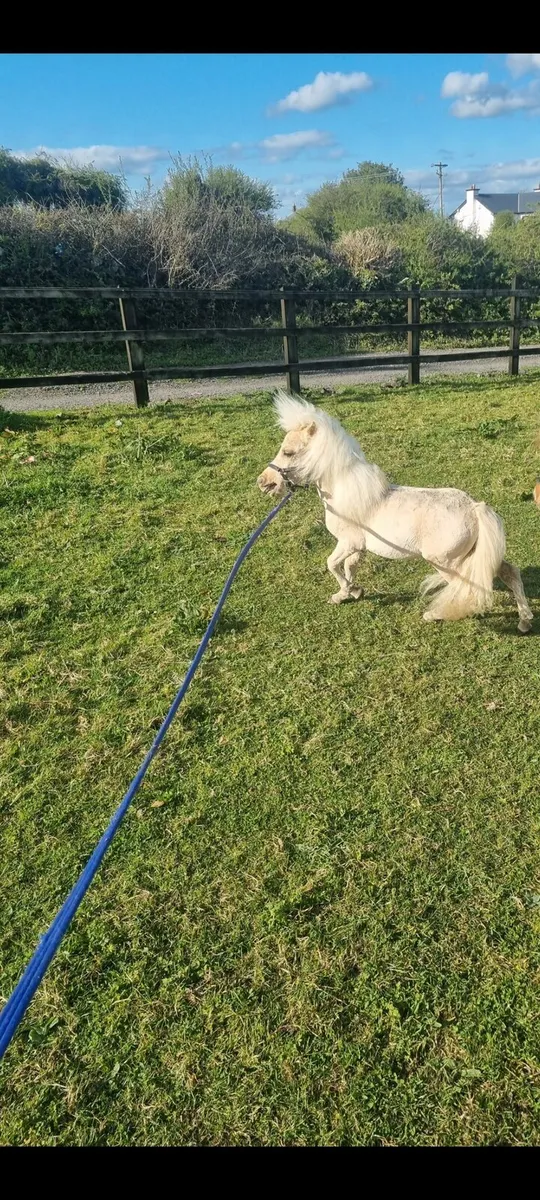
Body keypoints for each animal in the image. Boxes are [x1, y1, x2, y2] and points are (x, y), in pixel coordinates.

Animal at [256, 391, 534, 634]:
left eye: (288, 452)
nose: (264, 482)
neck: (347, 492)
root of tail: (474, 509)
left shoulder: (348, 542)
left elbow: (333, 564)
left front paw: (347, 592)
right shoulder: (357, 546)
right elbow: (349, 566)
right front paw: (349, 593)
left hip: (446, 562)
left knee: (464, 588)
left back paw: (434, 614)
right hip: (477, 556)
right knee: (510, 573)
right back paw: (525, 622)